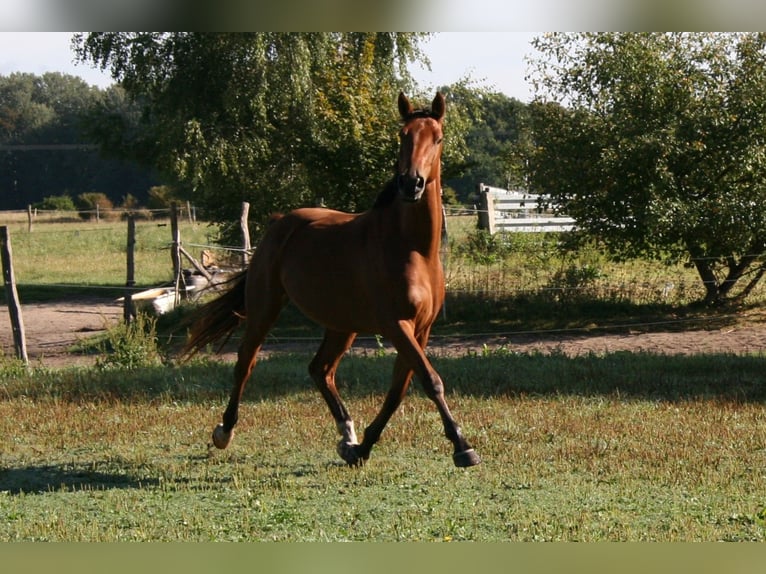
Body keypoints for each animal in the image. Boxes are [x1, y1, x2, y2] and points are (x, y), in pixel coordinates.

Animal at [183, 91, 480, 468]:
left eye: (437, 138)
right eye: (402, 136)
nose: (411, 183)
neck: (411, 248)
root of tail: (281, 222)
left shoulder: (421, 329)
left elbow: (398, 390)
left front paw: (362, 448)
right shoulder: (396, 325)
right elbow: (430, 380)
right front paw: (462, 446)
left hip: (342, 324)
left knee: (320, 369)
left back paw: (347, 436)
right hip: (266, 307)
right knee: (245, 362)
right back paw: (224, 431)